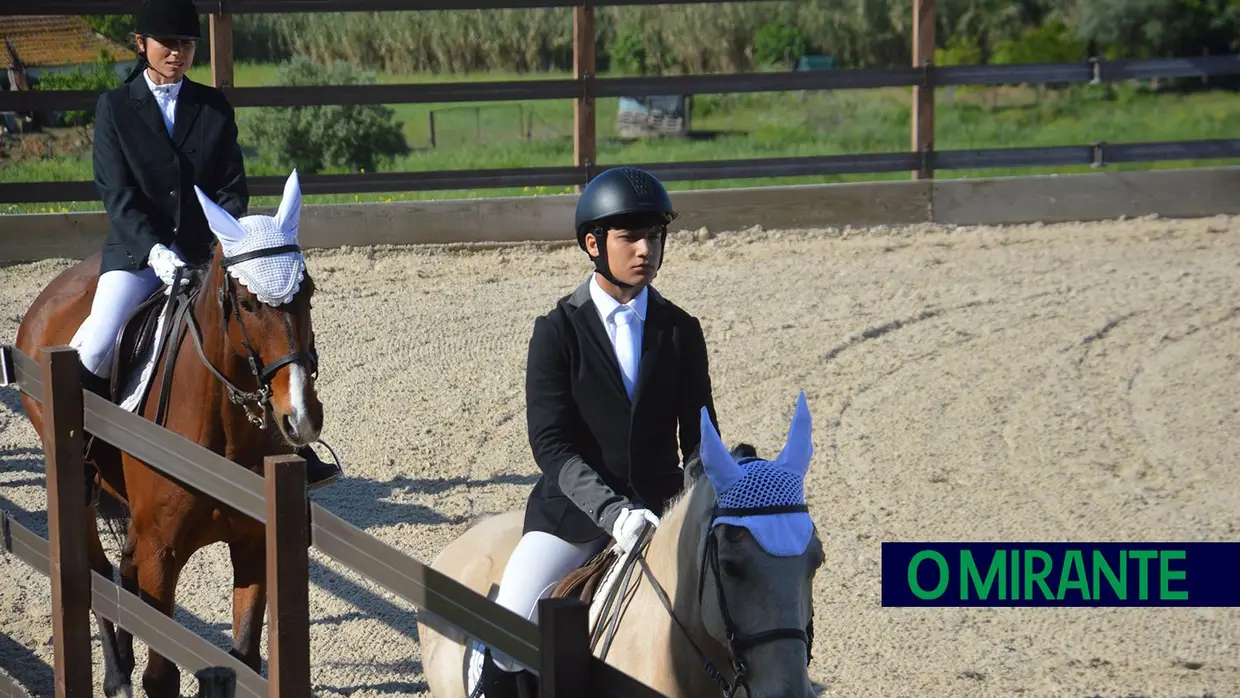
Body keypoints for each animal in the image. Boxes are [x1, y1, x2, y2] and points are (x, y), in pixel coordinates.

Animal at [14, 171, 324, 698]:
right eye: (246, 303)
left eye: (310, 293)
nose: (301, 415)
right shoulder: (163, 554)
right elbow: (161, 675)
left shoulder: (253, 545)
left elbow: (242, 661)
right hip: (81, 490)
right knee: (95, 572)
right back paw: (116, 675)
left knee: (122, 569)